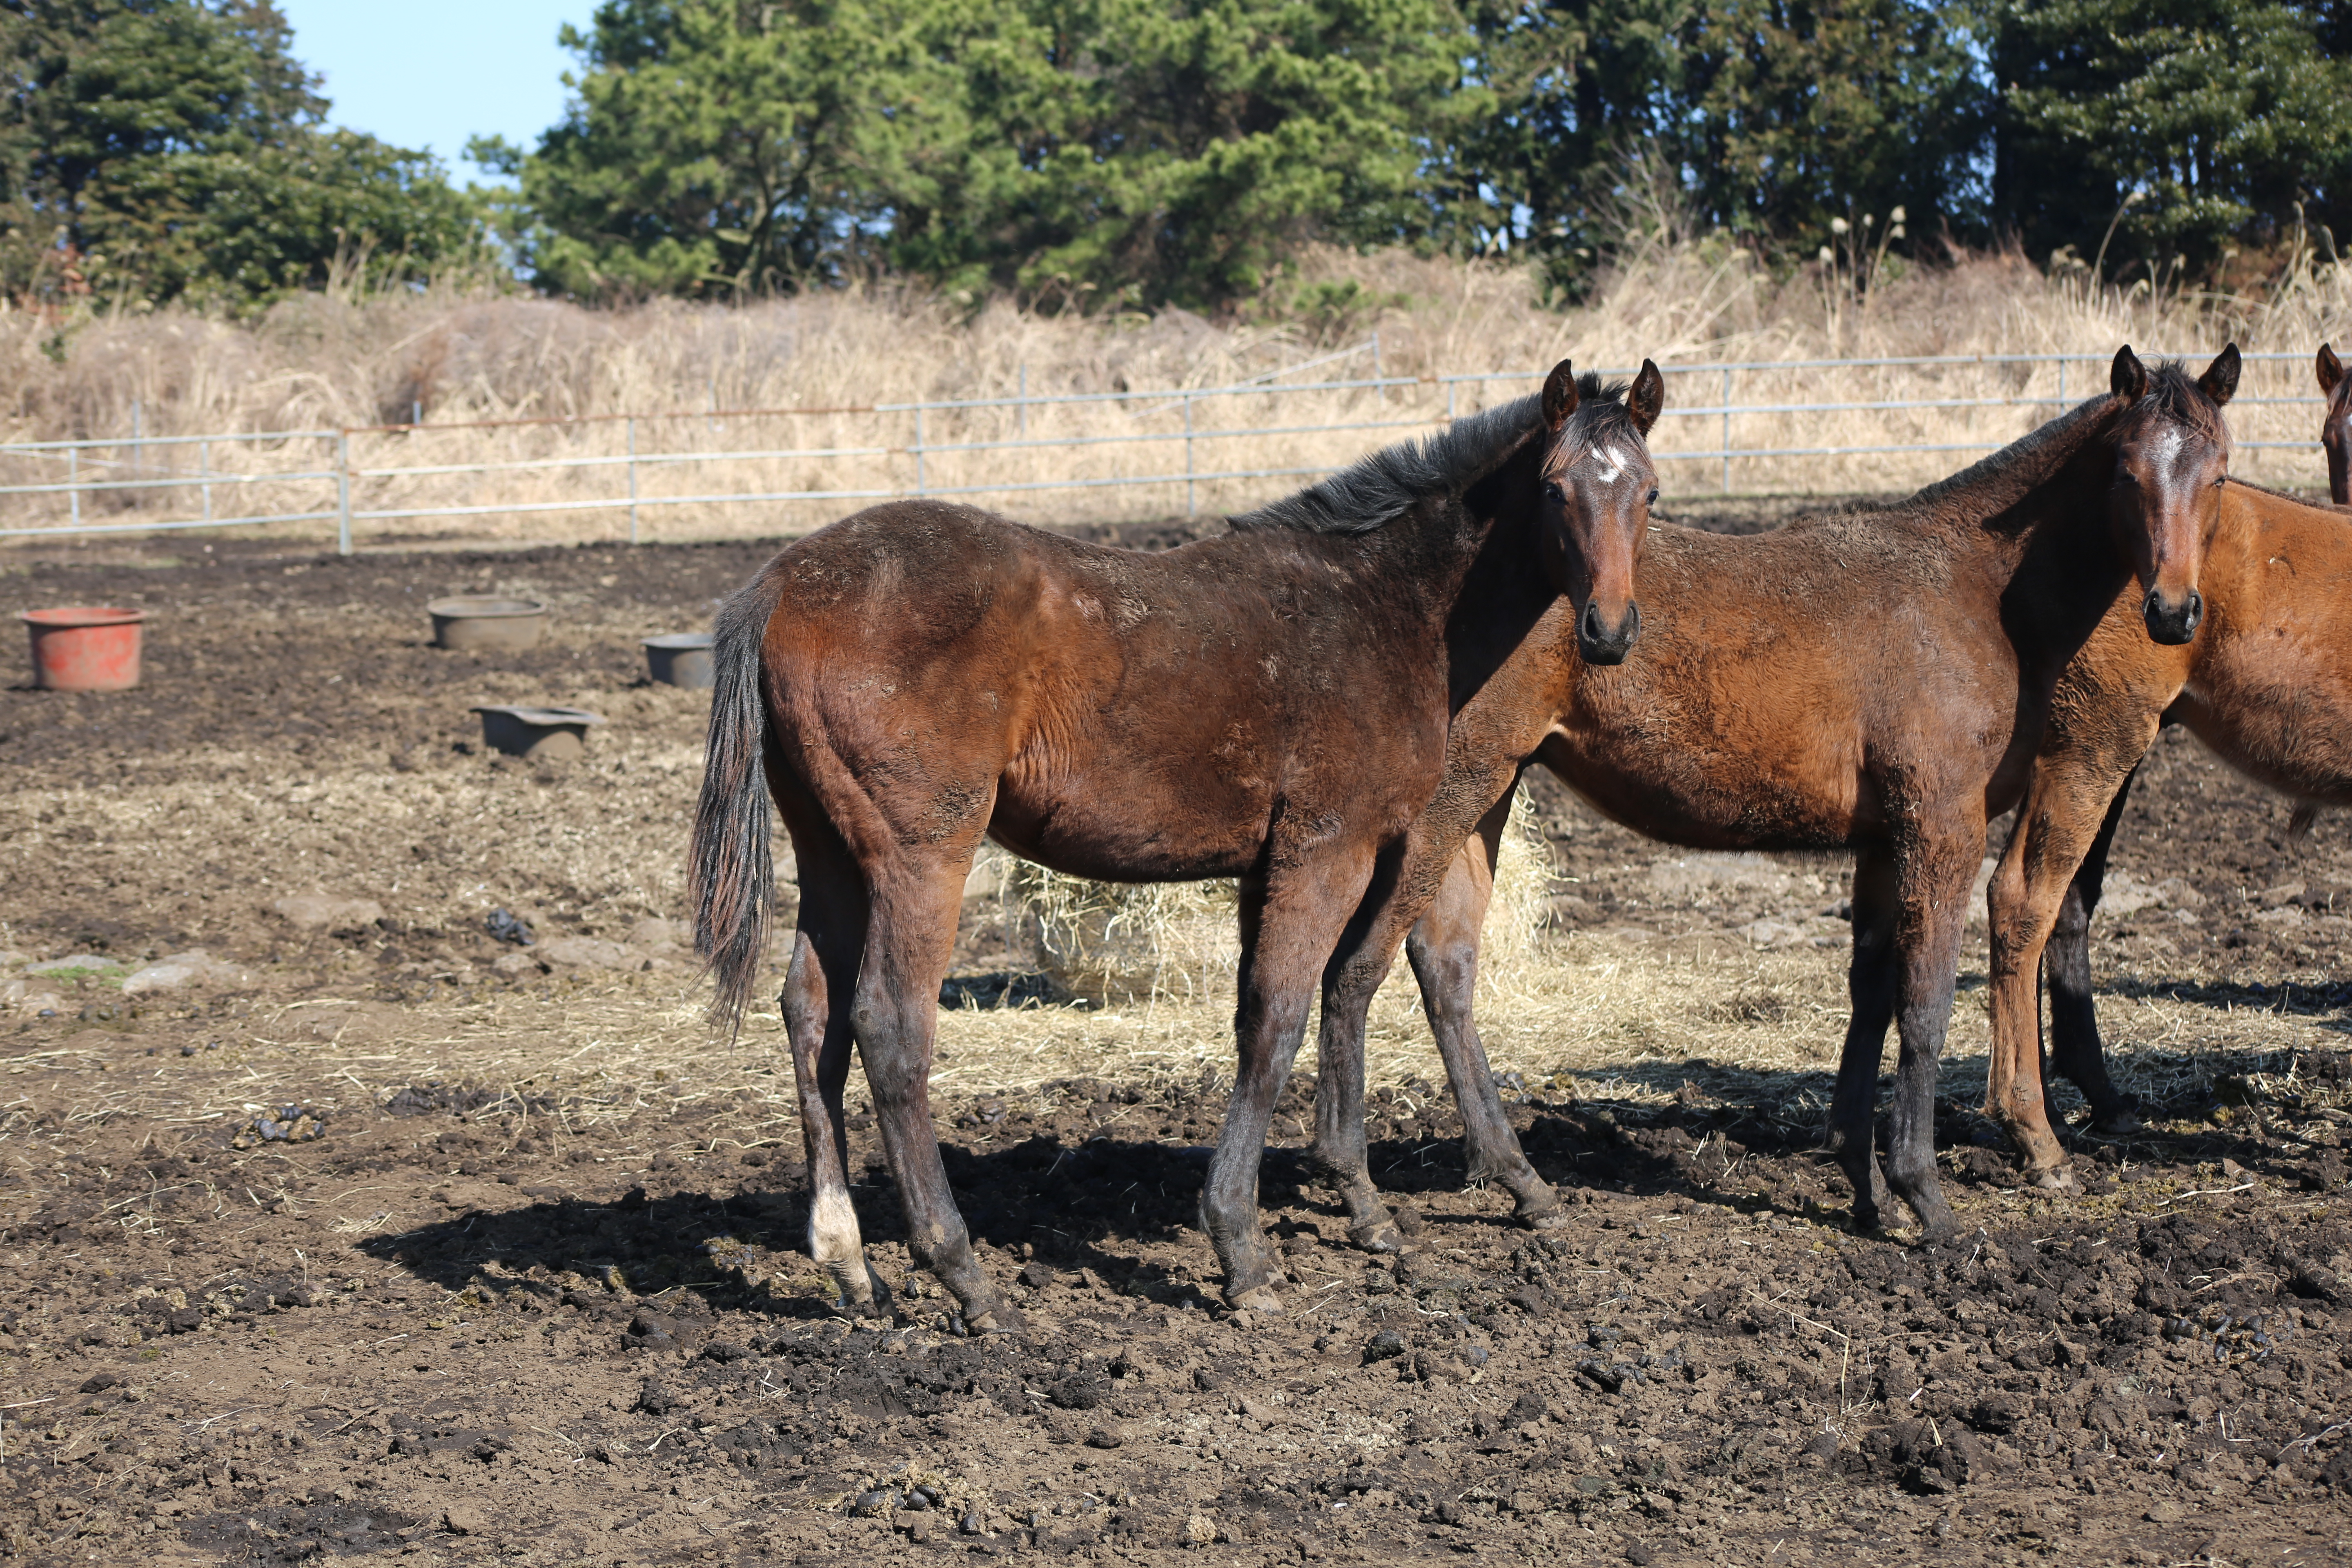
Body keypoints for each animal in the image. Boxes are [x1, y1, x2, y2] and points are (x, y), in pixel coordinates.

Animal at [696, 359, 1675, 1326]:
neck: (1383, 604)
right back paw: (964, 1274)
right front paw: (1241, 1248)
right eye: (1553, 489)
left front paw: (1358, 1213)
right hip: (921, 853)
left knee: (812, 1014)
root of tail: (782, 581)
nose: (1610, 631)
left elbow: (1277, 1010)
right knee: (890, 1026)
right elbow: (1283, 1019)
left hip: (831, 854)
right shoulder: (1327, 850)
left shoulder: (1269, 867)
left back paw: (849, 1262)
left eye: (1651, 493)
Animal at [1307, 345, 2239, 1250]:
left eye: (2221, 473)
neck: (1976, 590)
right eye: (2127, 471)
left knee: (1446, 964)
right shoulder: (1941, 825)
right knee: (1363, 965)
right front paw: (1926, 1198)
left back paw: (1519, 1182)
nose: (2174, 611)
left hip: (1489, 796)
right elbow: (1926, 1000)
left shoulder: (1882, 838)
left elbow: (1871, 995)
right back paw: (1364, 1193)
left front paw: (1869, 1194)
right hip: (1451, 800)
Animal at [1994, 341, 2352, 1175]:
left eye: (2221, 473)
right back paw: (2034, 1131)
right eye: (2333, 440)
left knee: (2062, 908)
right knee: (2026, 901)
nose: (2173, 610)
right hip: (2096, 744)